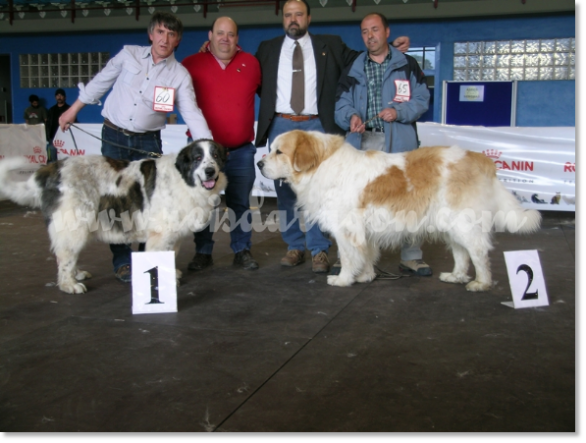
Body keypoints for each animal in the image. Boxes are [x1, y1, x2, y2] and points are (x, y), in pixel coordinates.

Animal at [0, 140, 227, 294]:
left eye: (215, 156)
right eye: (198, 158)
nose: (210, 171)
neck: (183, 178)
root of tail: (51, 168)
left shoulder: (174, 234)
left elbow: (170, 253)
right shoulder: (161, 234)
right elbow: (159, 255)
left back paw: (76, 274)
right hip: (75, 223)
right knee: (65, 255)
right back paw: (70, 284)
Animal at [256, 130, 540, 294]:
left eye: (279, 151)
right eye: (270, 149)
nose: (258, 163)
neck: (321, 164)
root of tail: (479, 158)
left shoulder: (347, 228)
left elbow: (348, 257)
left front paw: (344, 280)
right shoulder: (364, 231)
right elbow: (366, 255)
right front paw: (365, 277)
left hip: (462, 221)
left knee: (478, 251)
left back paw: (481, 283)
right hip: (450, 223)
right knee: (462, 253)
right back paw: (455, 276)